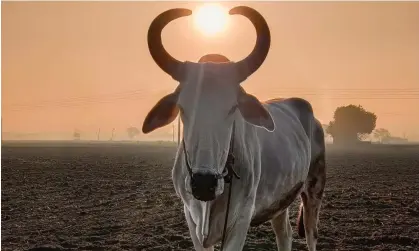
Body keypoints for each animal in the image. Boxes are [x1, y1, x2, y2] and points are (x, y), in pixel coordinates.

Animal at [143, 5, 326, 251]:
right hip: (281, 199)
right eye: (182, 107)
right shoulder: (191, 218)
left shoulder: (241, 219)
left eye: (233, 108)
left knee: (311, 234)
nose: (204, 183)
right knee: (284, 233)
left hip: (314, 188)